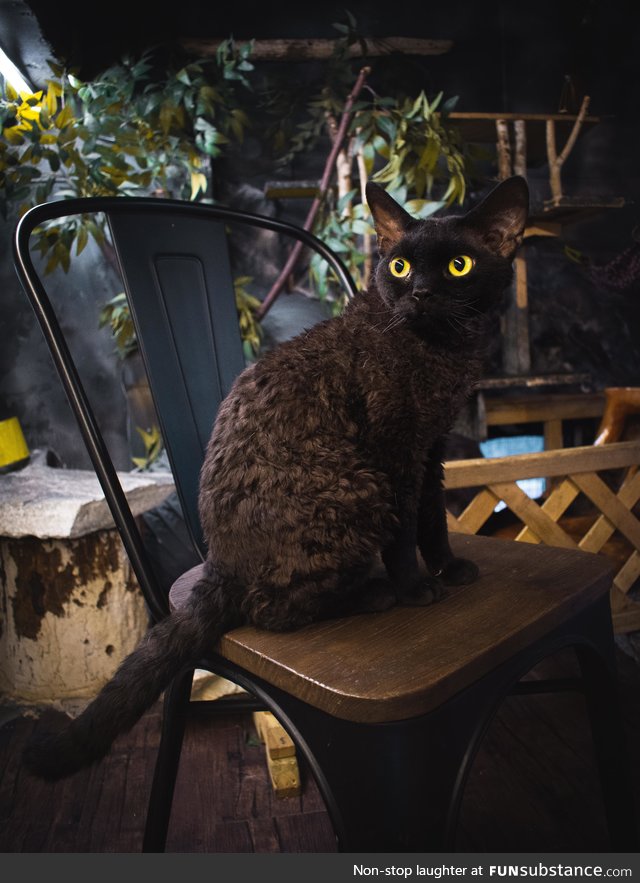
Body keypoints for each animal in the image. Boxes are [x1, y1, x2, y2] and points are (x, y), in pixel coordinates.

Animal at [22, 173, 528, 780]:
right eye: (400, 266)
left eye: (458, 266)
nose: (420, 294)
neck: (440, 349)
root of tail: (218, 562)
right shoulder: (397, 451)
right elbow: (407, 533)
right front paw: (416, 587)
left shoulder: (432, 448)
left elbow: (433, 520)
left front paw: (450, 568)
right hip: (361, 490)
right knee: (271, 610)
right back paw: (375, 594)